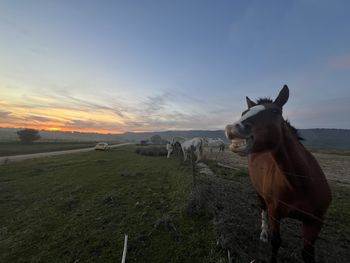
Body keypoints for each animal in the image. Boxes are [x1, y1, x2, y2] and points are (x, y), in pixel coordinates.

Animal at [226, 85, 332, 262]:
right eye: (243, 112)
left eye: (275, 111)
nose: (232, 129)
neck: (300, 184)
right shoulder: (275, 214)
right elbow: (276, 242)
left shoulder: (315, 222)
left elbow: (308, 254)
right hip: (259, 194)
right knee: (262, 209)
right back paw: (263, 234)